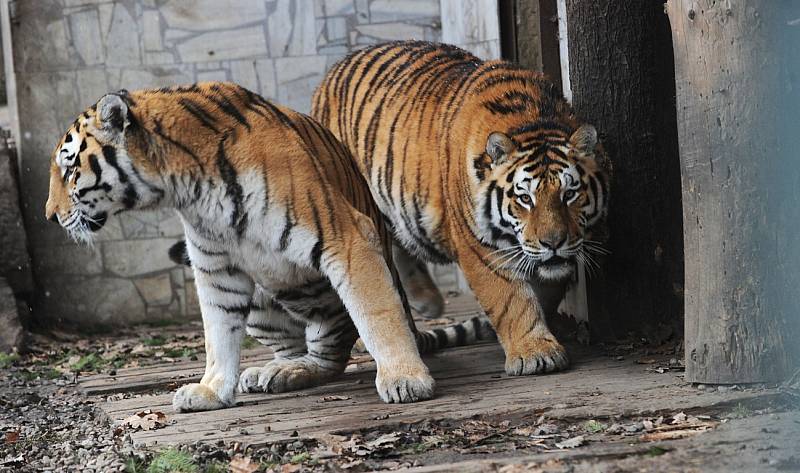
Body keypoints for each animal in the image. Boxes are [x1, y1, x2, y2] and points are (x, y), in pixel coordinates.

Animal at [43, 83, 494, 412]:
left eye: (69, 168)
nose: (49, 217)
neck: (183, 185)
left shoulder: (347, 238)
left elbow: (378, 316)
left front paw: (405, 380)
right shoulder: (216, 269)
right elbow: (218, 334)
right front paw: (210, 391)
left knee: (332, 355)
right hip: (262, 302)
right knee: (302, 350)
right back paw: (275, 371)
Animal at [312, 42, 612, 378]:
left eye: (570, 194)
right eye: (525, 199)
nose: (553, 243)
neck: (534, 118)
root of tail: (335, 69)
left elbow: (546, 287)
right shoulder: (479, 245)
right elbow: (509, 299)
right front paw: (535, 352)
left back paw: (427, 302)